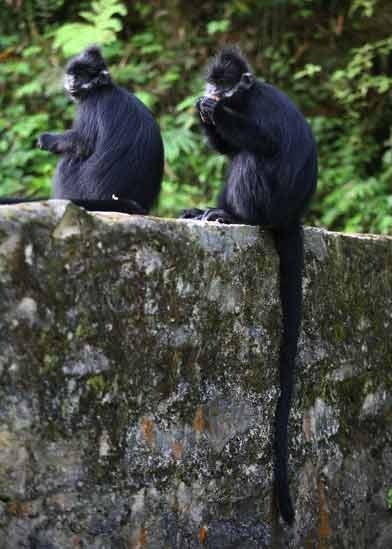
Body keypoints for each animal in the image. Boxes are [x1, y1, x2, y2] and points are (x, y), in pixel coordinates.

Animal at [0, 46, 163, 214]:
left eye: (78, 77)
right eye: (71, 75)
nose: (70, 81)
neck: (99, 89)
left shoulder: (90, 103)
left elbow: (83, 143)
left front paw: (47, 139)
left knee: (69, 158)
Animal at [181, 46, 318, 524]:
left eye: (223, 85)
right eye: (212, 81)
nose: (211, 93)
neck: (245, 98)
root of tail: (290, 215)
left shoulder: (258, 109)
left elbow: (264, 145)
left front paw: (216, 112)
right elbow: (227, 144)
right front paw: (204, 112)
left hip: (267, 201)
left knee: (251, 157)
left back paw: (235, 216)